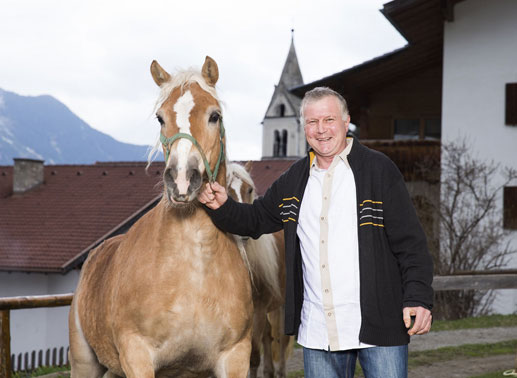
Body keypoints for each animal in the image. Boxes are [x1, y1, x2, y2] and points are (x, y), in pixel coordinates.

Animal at [68, 56, 254, 378]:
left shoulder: (236, 357)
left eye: (214, 115)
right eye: (160, 118)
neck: (194, 268)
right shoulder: (137, 355)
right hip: (85, 364)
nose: (181, 180)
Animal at [227, 162, 294, 378]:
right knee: (268, 337)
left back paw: (280, 371)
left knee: (281, 338)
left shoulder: (258, 309)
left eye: (249, 189)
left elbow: (253, 356)